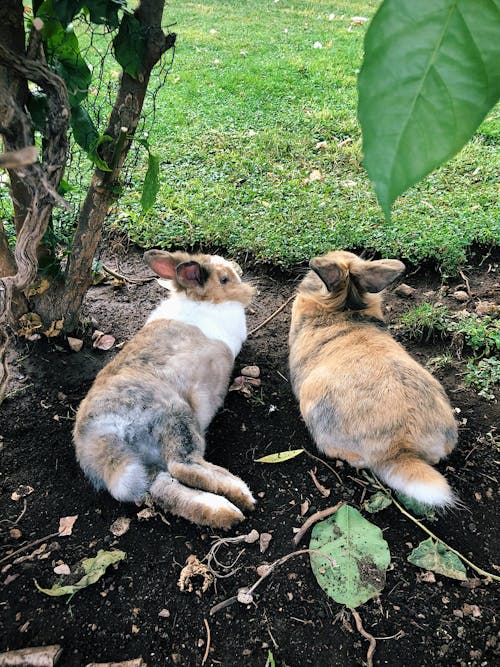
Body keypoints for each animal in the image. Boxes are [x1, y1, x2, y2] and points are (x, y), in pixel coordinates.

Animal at [74, 249, 258, 528]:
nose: (238, 271)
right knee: (183, 466)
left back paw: (223, 511)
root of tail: (101, 438)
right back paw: (241, 494)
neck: (202, 300)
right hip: (176, 417)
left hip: (148, 467)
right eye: (224, 279)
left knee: (166, 489)